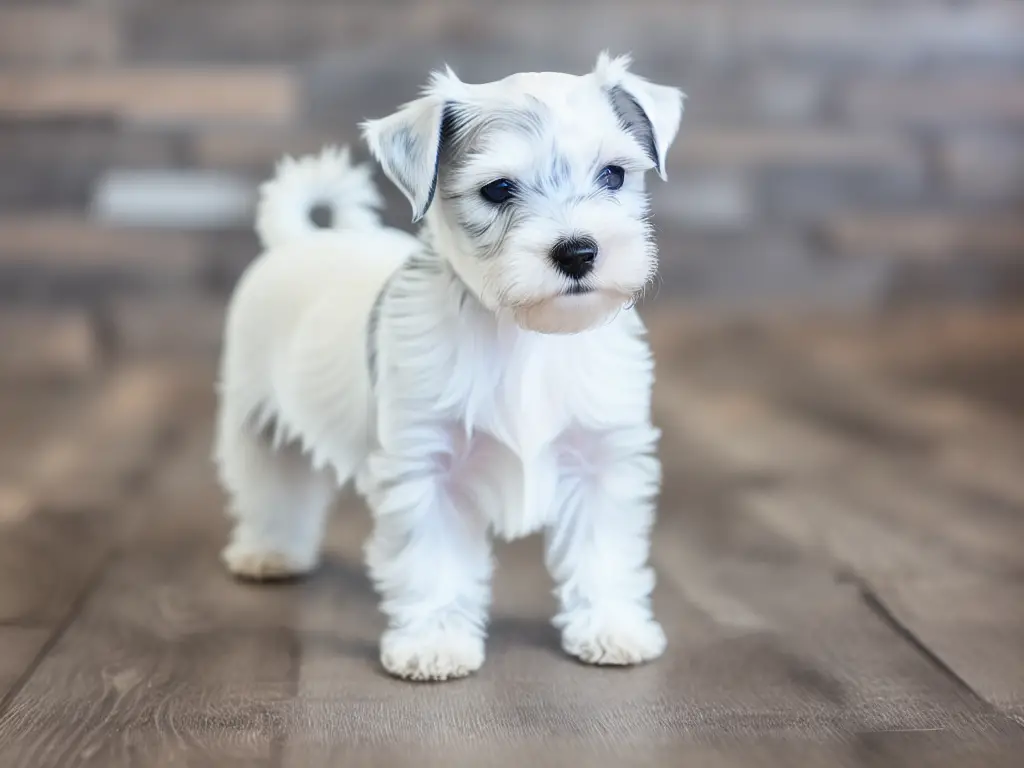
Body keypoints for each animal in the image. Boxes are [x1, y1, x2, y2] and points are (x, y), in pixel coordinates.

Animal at [212, 52, 684, 679]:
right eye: (498, 188)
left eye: (613, 174)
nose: (579, 251)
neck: (524, 335)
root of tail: (298, 241)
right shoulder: (426, 470)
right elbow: (431, 562)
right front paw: (434, 642)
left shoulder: (601, 463)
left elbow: (602, 554)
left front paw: (613, 627)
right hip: (255, 421)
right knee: (272, 488)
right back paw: (269, 551)